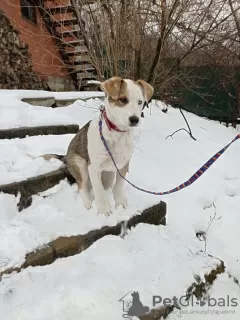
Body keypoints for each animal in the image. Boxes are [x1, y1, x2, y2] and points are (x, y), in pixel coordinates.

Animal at [43, 76, 153, 215]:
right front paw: (104, 210)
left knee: (105, 185)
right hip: (80, 164)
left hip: (108, 173)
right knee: (82, 185)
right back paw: (88, 202)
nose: (135, 120)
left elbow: (118, 186)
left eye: (140, 102)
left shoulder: (122, 165)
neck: (117, 133)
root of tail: (65, 156)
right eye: (123, 99)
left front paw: (119, 203)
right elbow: (99, 191)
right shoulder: (93, 167)